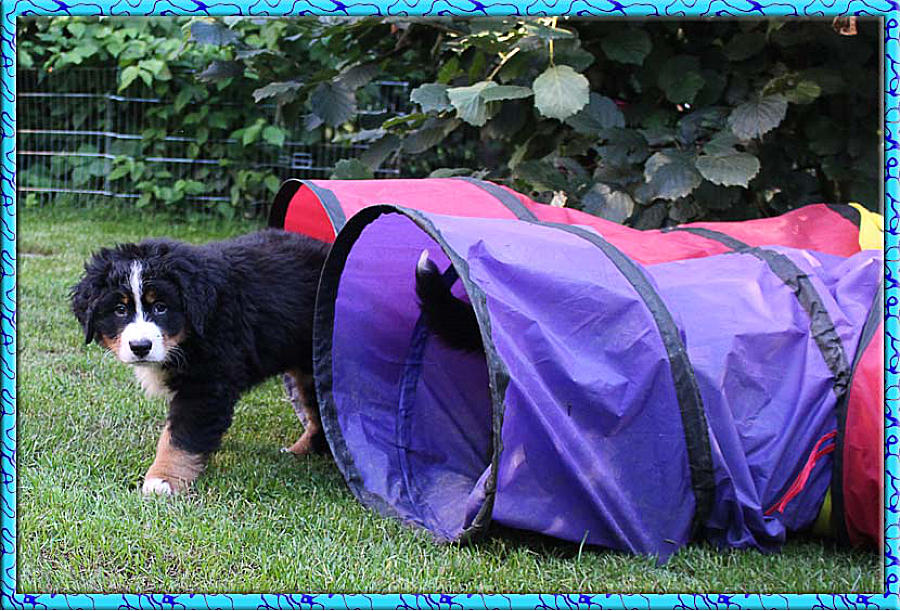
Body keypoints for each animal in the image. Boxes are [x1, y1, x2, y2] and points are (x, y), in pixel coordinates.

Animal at [70, 229, 330, 495]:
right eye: (120, 310)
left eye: (161, 307)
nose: (141, 347)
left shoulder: (206, 385)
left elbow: (179, 437)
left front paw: (163, 479)